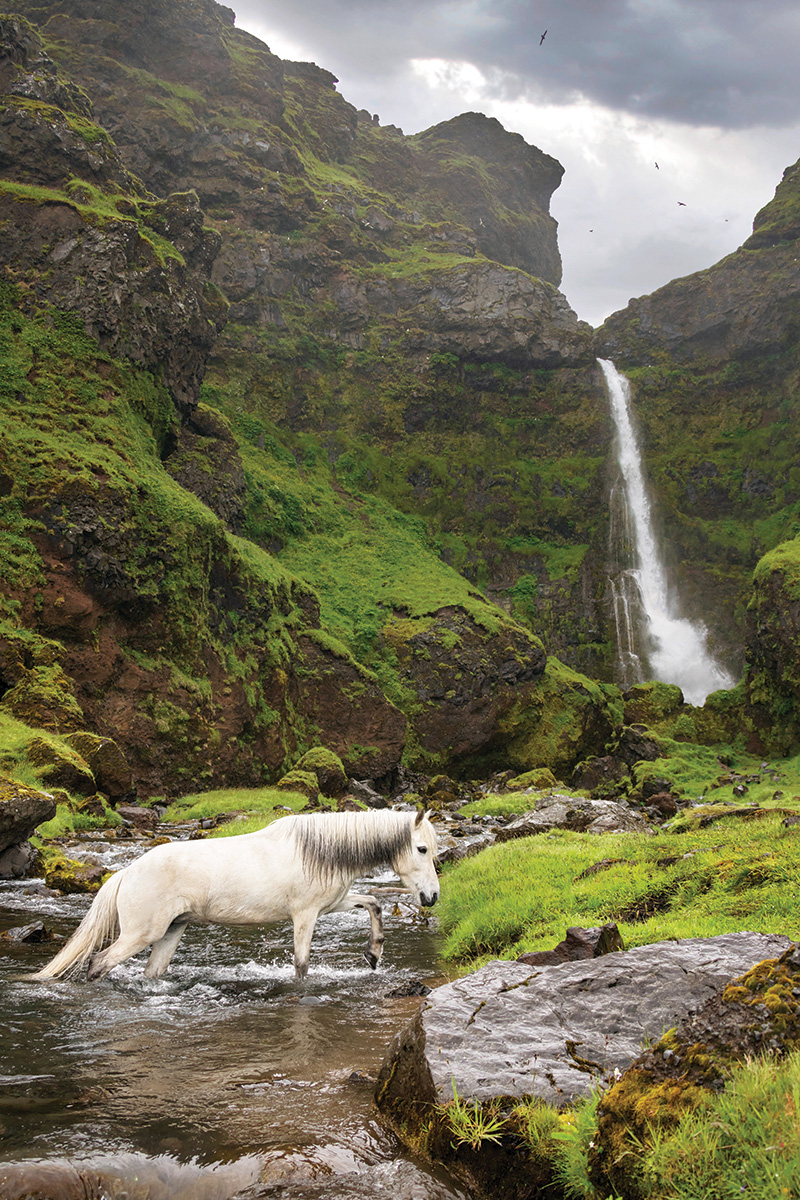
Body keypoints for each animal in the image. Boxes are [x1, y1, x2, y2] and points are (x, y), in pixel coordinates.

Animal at [29, 806, 438, 984]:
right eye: (421, 849)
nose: (432, 896)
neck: (319, 850)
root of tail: (126, 872)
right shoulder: (305, 915)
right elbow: (302, 964)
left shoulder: (330, 905)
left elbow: (373, 903)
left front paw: (374, 953)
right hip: (140, 934)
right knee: (99, 963)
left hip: (171, 931)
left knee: (152, 971)